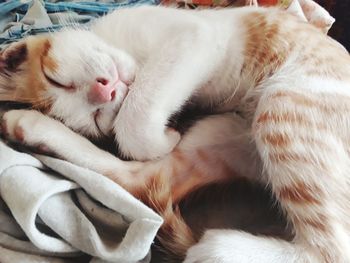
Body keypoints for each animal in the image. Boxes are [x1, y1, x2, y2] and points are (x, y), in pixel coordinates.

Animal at [0, 4, 350, 263]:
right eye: (96, 119)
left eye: (56, 79)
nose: (106, 92)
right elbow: (132, 128)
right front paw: (164, 134)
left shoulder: (194, 34)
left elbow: (136, 115)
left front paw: (160, 132)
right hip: (227, 128)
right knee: (136, 182)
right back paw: (25, 124)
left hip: (284, 102)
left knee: (333, 249)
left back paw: (215, 249)